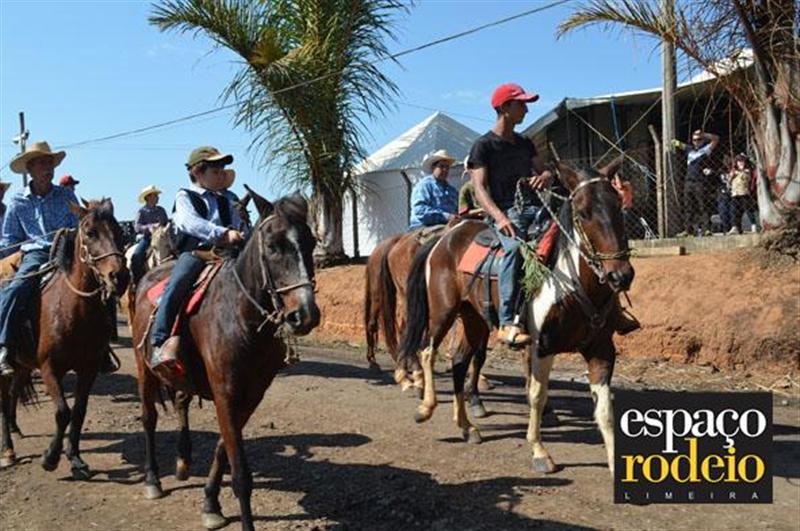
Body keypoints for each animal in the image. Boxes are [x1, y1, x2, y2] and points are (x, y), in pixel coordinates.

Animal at [0, 198, 129, 478]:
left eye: (120, 232)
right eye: (90, 233)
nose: (120, 277)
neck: (73, 311)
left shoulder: (89, 368)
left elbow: (78, 412)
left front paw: (75, 458)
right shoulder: (49, 368)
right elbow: (62, 412)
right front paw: (50, 457)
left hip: (22, 365)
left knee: (13, 394)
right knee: (3, 400)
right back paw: (8, 451)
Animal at [131, 191, 320, 531]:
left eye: (310, 242)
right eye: (272, 246)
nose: (305, 314)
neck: (241, 317)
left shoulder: (250, 395)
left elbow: (222, 447)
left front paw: (210, 502)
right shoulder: (225, 392)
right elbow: (242, 475)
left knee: (181, 401)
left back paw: (183, 461)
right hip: (144, 368)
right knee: (149, 418)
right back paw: (153, 480)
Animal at [398, 158, 634, 468]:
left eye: (618, 205)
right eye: (583, 213)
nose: (621, 276)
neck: (570, 279)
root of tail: (444, 239)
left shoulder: (601, 349)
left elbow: (605, 410)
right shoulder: (542, 345)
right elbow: (537, 395)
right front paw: (540, 451)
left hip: (474, 319)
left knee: (459, 362)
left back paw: (467, 427)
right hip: (443, 312)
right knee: (428, 351)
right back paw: (425, 407)